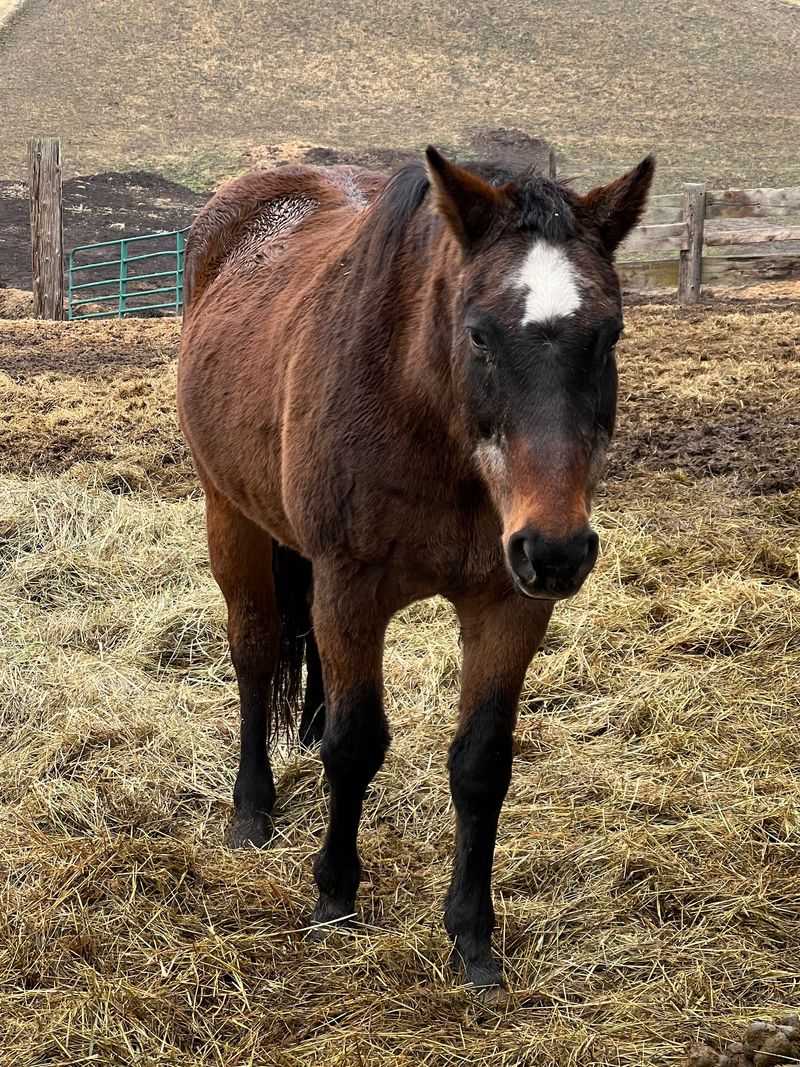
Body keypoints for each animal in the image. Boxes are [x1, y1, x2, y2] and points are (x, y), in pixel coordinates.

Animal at [177, 147, 654, 988]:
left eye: (610, 334)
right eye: (479, 334)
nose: (557, 549)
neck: (430, 421)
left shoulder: (509, 602)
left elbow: (481, 762)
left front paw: (471, 935)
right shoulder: (353, 587)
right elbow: (358, 744)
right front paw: (334, 896)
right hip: (229, 517)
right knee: (256, 653)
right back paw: (252, 807)